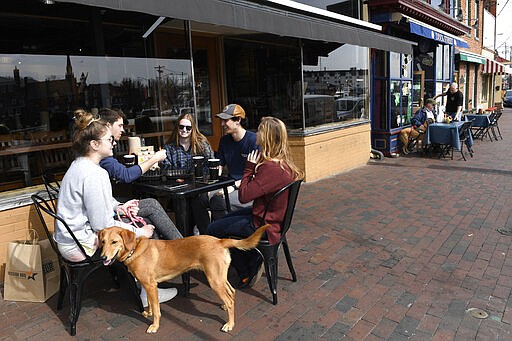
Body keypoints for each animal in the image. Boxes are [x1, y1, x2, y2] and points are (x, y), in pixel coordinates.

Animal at [98, 224, 270, 334]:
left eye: (114, 242)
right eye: (103, 242)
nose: (102, 258)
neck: (134, 249)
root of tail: (219, 240)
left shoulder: (151, 285)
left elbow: (157, 310)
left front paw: (154, 326)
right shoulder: (147, 285)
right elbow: (152, 305)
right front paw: (148, 312)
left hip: (214, 280)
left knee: (229, 299)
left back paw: (230, 324)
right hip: (219, 277)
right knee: (232, 292)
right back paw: (225, 308)